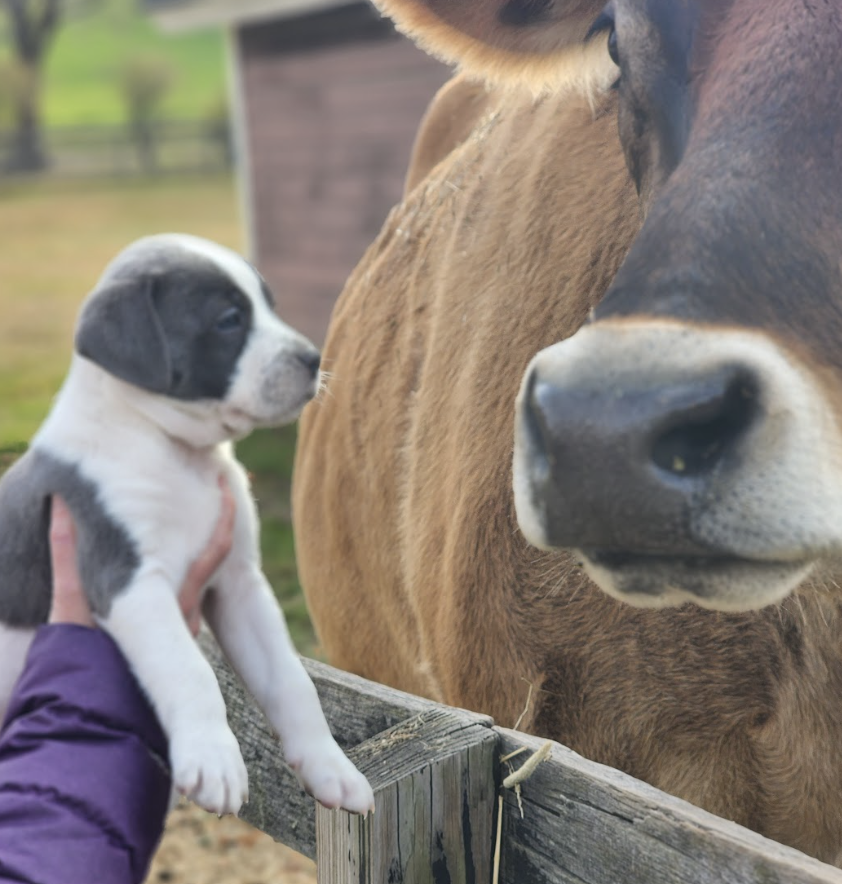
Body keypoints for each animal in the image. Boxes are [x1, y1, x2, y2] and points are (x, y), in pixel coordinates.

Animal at [0, 233, 374, 816]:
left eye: (269, 305)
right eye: (228, 320)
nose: (315, 359)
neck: (178, 452)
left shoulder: (240, 585)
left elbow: (292, 682)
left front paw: (331, 768)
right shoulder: (128, 582)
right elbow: (190, 670)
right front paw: (214, 760)